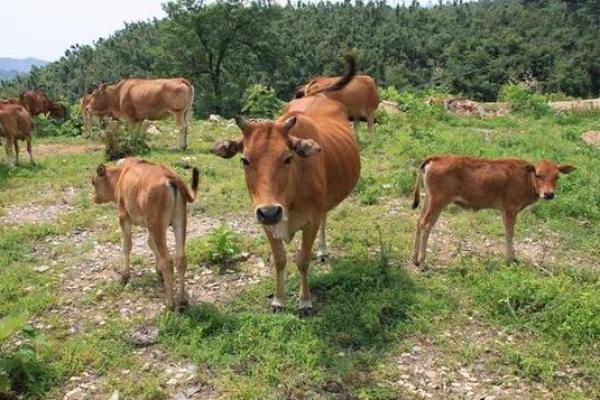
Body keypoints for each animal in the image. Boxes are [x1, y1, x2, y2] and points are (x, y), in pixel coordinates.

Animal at [91, 158, 199, 310]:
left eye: (93, 182)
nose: (95, 198)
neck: (121, 176)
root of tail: (173, 179)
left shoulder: (124, 217)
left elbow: (127, 246)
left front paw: (124, 276)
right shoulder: (150, 226)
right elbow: (151, 244)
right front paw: (158, 272)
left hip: (157, 225)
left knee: (168, 261)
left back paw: (170, 303)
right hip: (179, 222)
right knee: (181, 258)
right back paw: (182, 300)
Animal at [412, 155, 576, 268]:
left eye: (557, 176)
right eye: (538, 175)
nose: (549, 194)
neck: (525, 179)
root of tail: (437, 158)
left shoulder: (504, 211)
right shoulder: (511, 209)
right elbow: (510, 234)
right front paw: (510, 260)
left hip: (429, 200)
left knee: (419, 221)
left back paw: (414, 258)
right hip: (438, 202)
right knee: (426, 224)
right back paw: (422, 262)